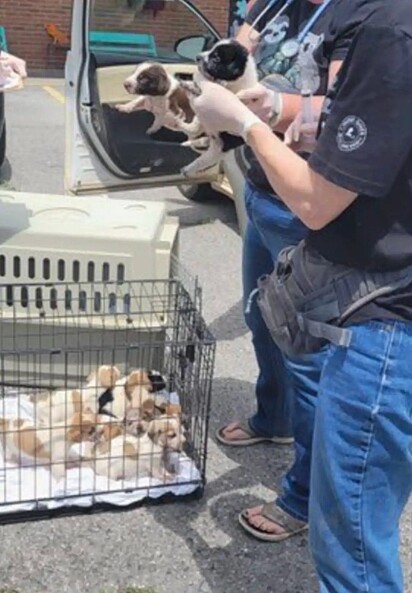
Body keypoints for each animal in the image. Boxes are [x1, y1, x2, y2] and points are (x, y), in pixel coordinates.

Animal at [179, 37, 258, 177]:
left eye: (216, 58)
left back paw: (188, 169)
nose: (197, 56)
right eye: (210, 48)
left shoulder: (224, 144)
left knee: (205, 157)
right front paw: (189, 85)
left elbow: (204, 160)